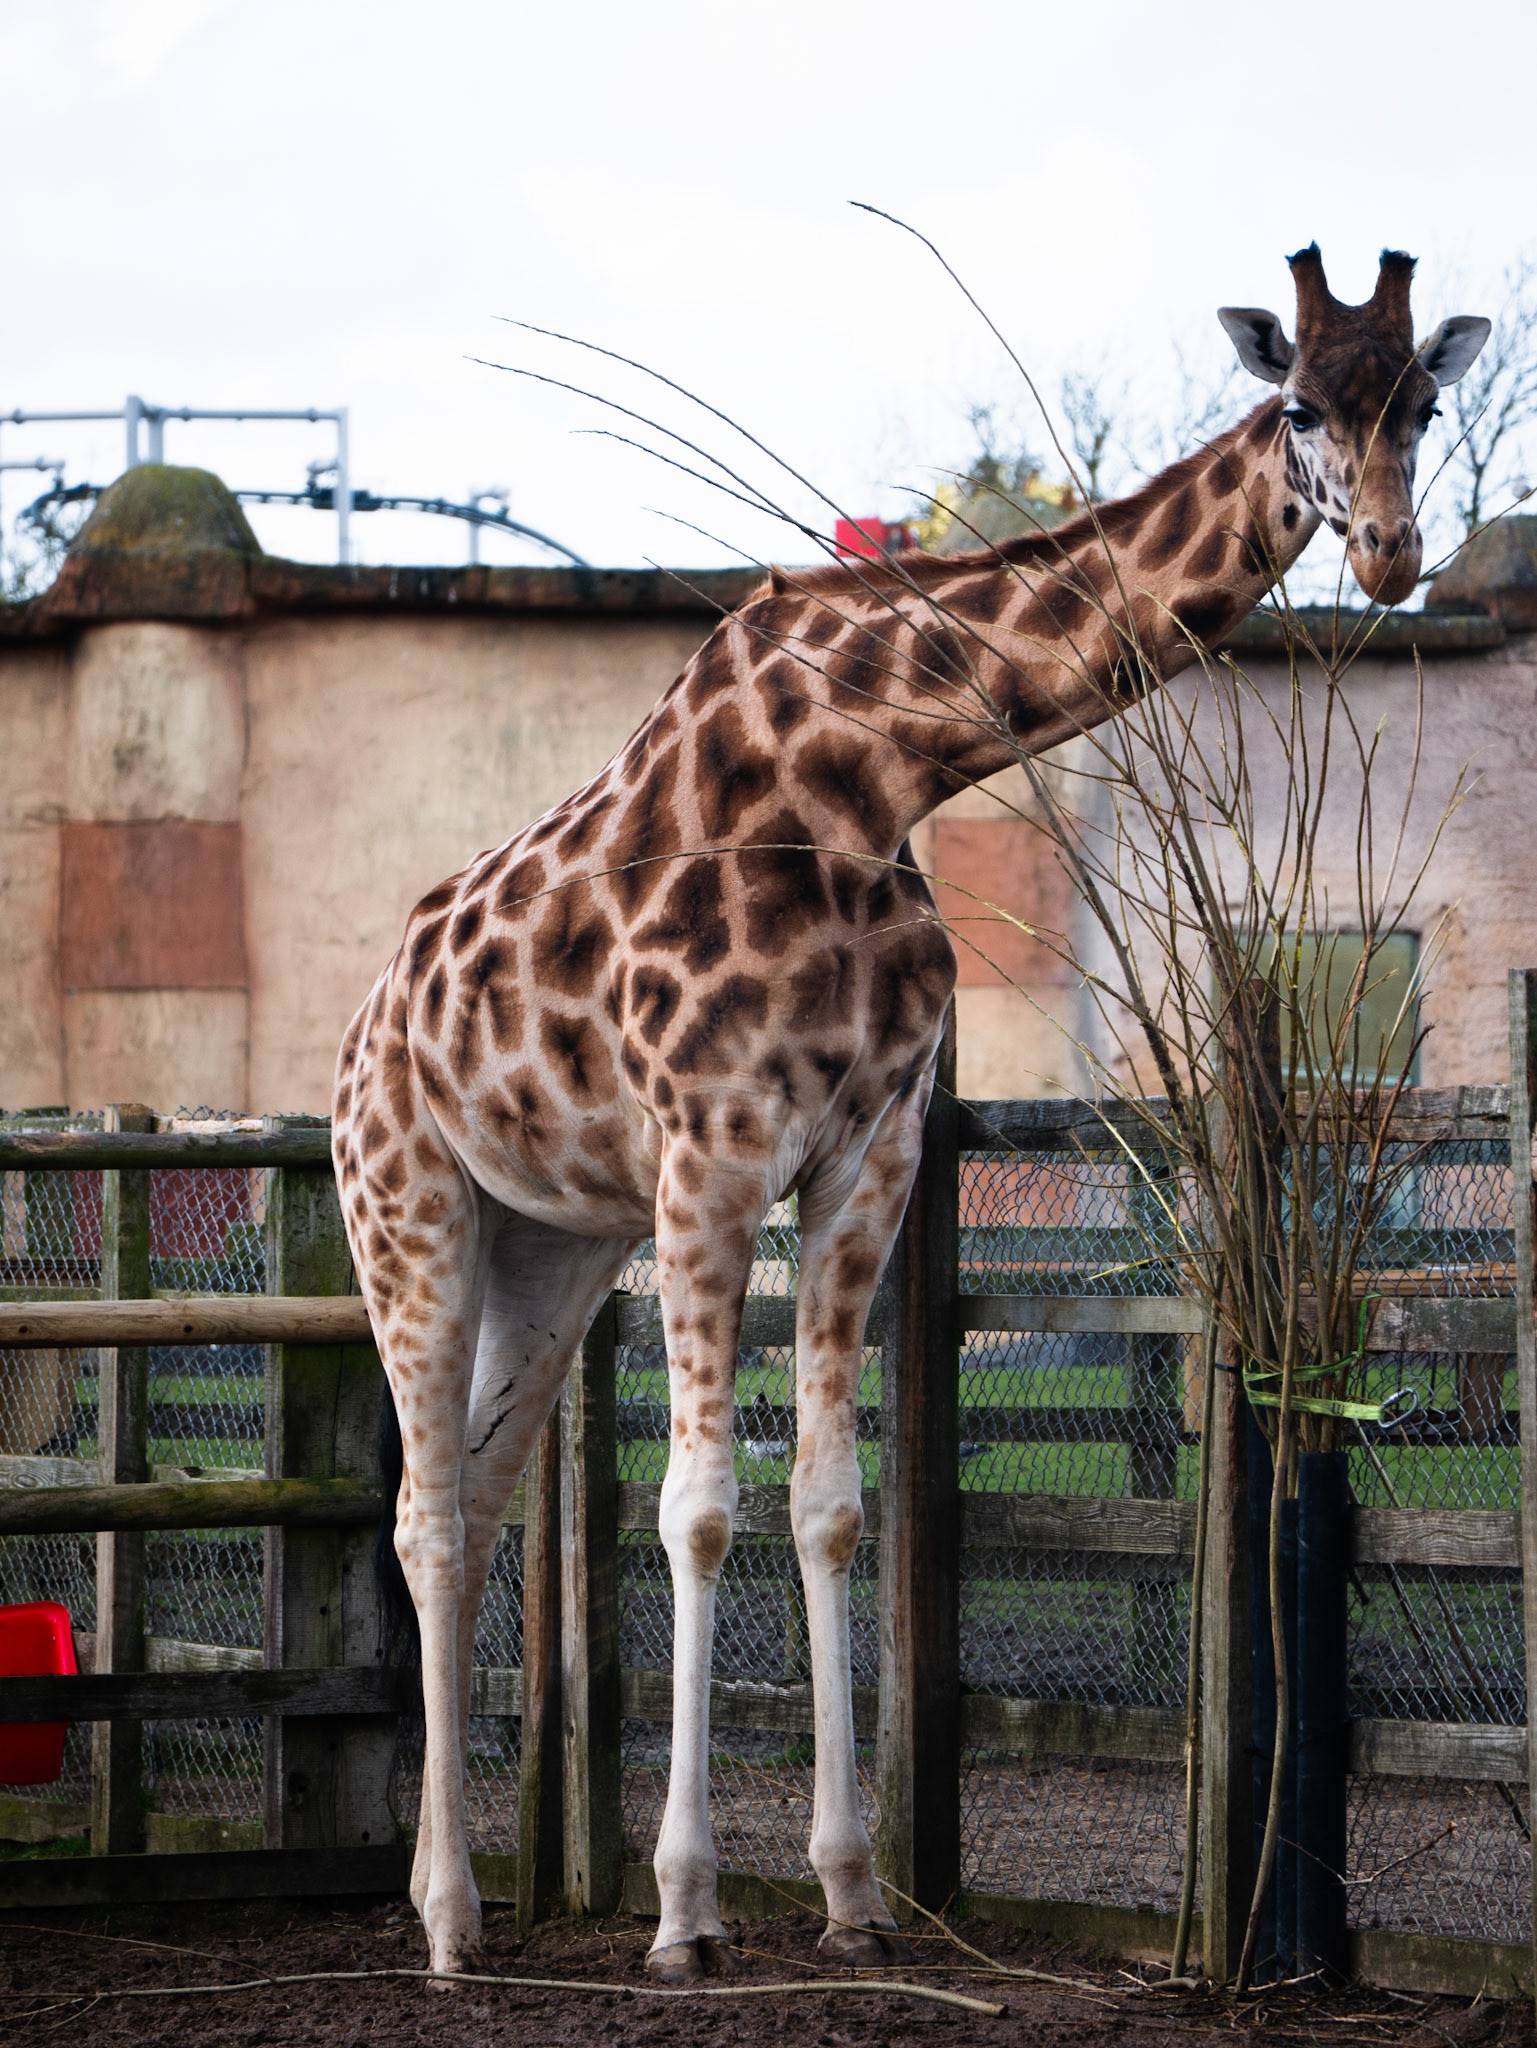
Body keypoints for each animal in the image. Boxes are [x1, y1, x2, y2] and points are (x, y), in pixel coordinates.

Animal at [332, 245, 1488, 1982]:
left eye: (1420, 401)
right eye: (1295, 403)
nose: (1397, 552)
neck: (879, 768)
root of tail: (360, 1029)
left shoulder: (864, 1156)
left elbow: (829, 1505)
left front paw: (849, 1890)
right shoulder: (710, 1152)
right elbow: (695, 1510)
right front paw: (686, 1910)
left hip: (551, 1245)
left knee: (468, 1490)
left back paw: (444, 1892)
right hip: (407, 1209)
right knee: (424, 1519)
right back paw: (454, 1922)